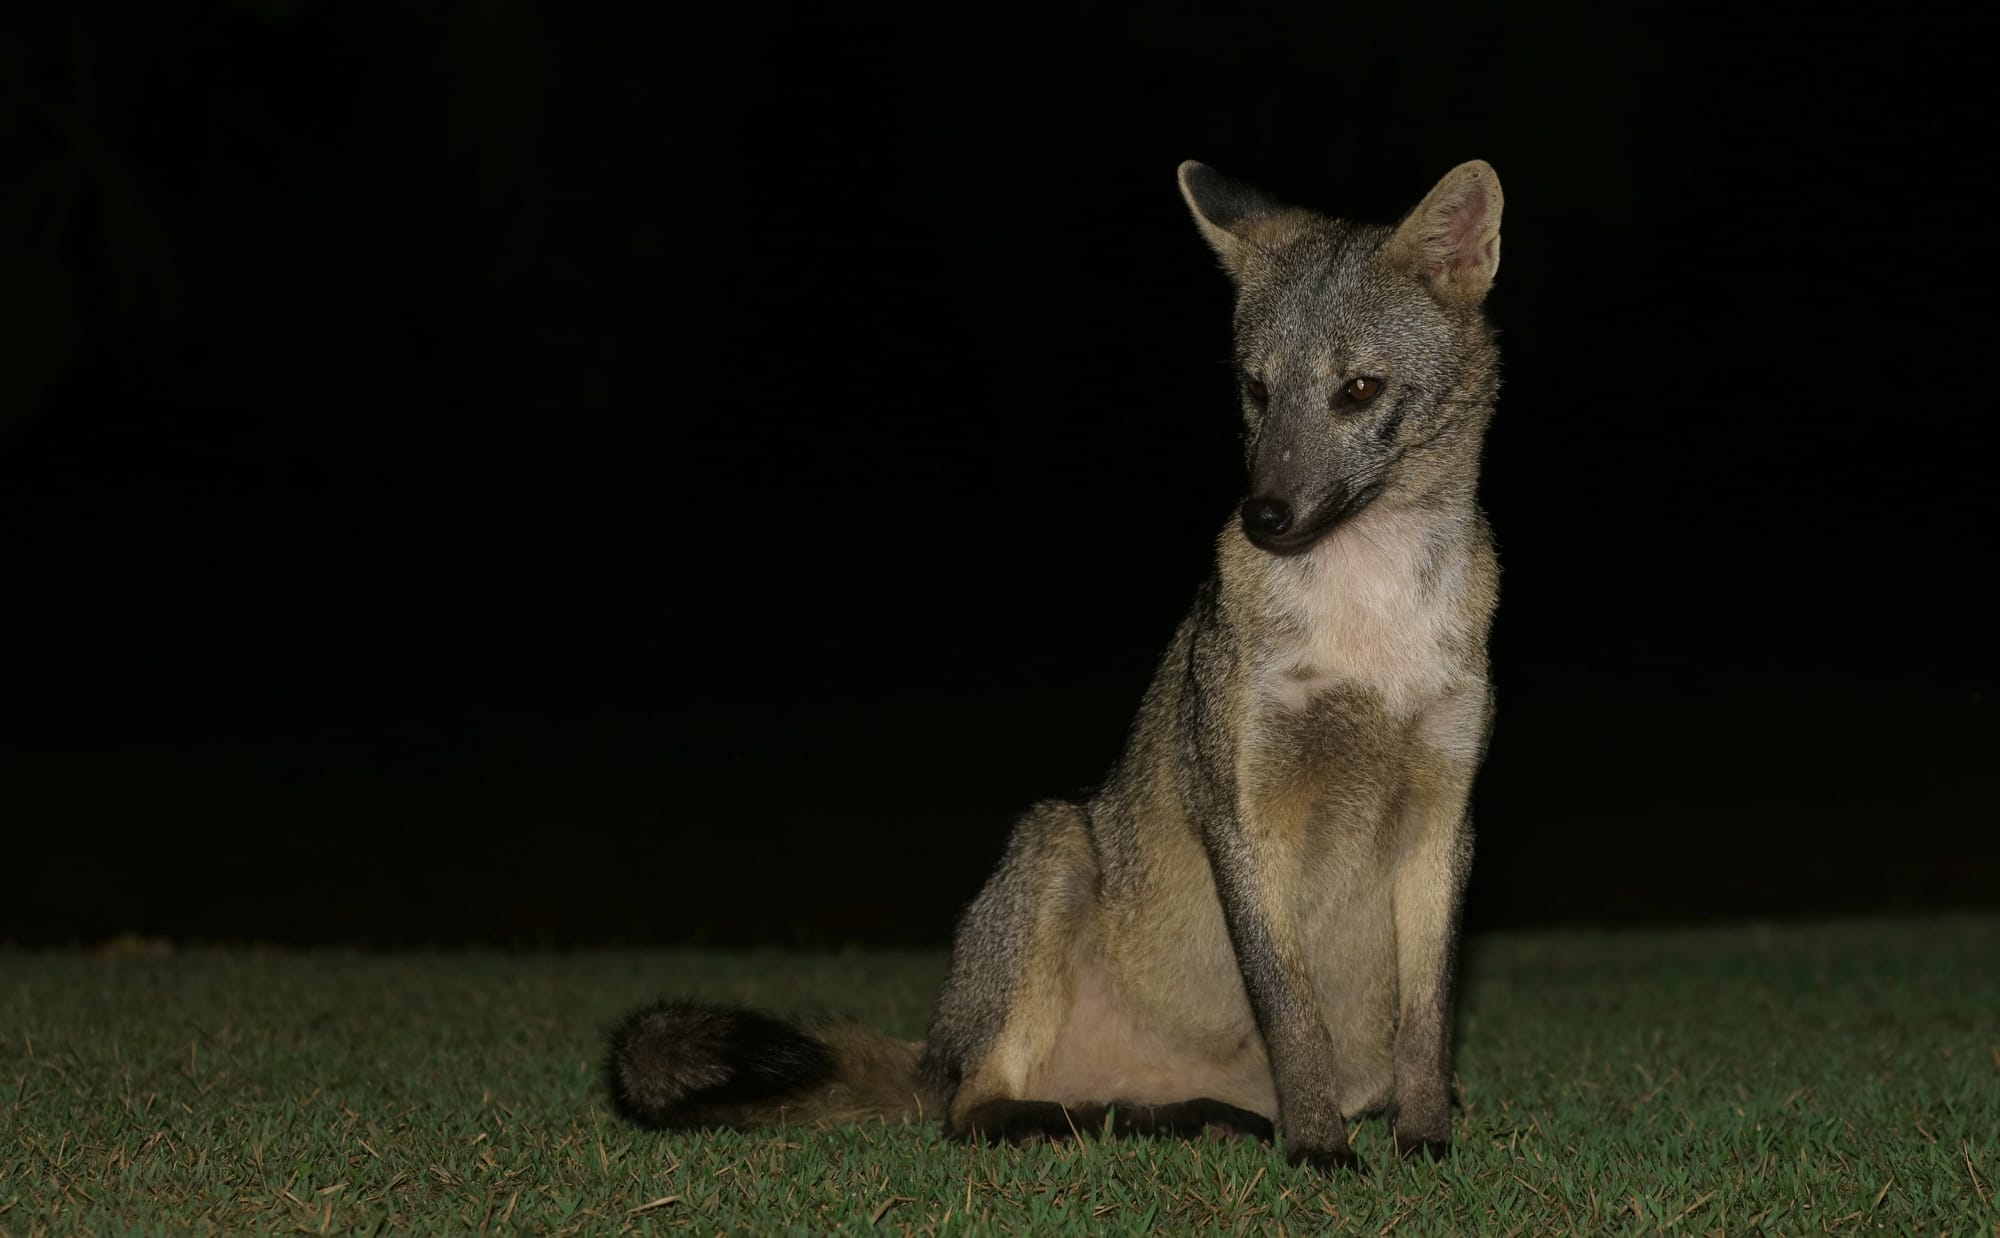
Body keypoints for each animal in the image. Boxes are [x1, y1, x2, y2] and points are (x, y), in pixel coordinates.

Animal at [609, 158, 1504, 1170]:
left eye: (1357, 389)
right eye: (1256, 390)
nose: (1263, 517)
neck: (1368, 626)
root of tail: (941, 1046)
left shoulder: (1445, 813)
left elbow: (1428, 1024)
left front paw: (1424, 1142)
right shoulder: (1241, 807)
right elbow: (1291, 1015)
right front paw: (1318, 1149)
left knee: (1116, 1107)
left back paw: (1182, 1119)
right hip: (1049, 847)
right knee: (970, 1110)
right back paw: (1065, 1124)